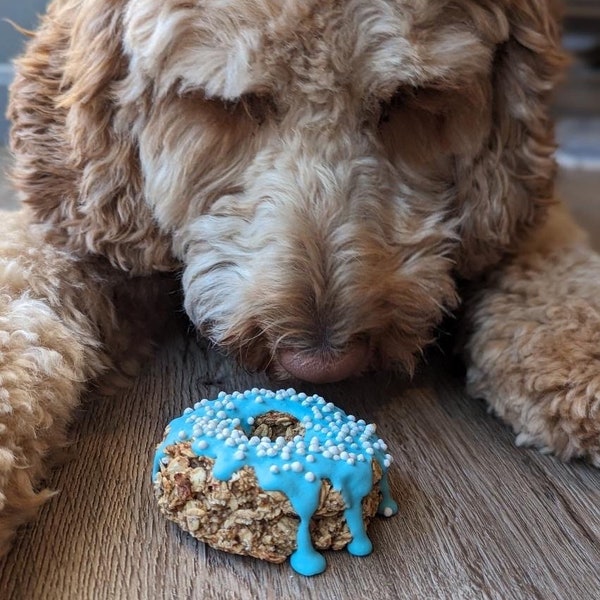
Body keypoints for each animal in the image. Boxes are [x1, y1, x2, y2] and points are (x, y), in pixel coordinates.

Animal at [2, 0, 596, 556]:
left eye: (409, 97)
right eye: (230, 104)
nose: (324, 363)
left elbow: (540, 247)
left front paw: (574, 344)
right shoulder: (86, 223)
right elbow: (25, 275)